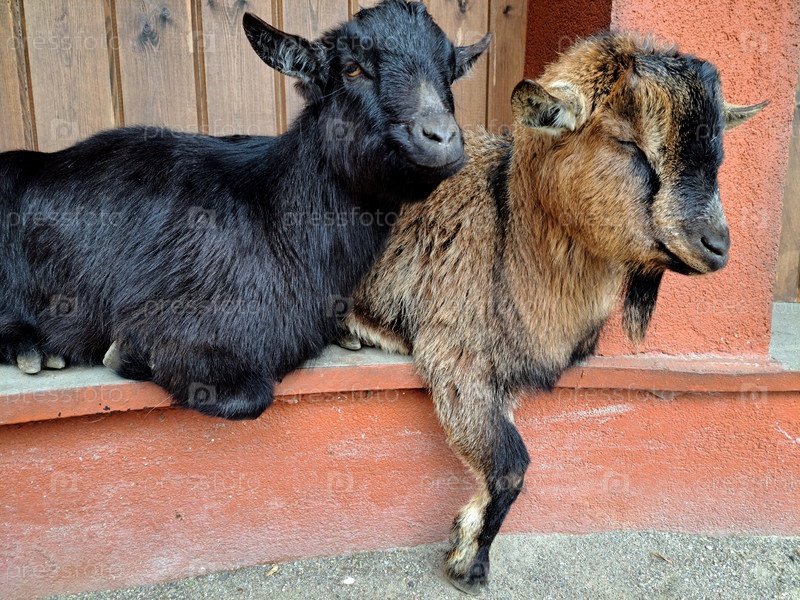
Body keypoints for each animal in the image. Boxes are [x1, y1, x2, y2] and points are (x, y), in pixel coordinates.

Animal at [0, 0, 491, 420]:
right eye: (353, 68)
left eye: (449, 70)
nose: (442, 138)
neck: (276, 217)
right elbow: (245, 396)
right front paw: (126, 352)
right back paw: (33, 348)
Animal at [342, 33, 767, 593]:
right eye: (631, 144)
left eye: (718, 153)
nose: (717, 246)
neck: (507, 232)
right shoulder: (454, 350)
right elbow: (511, 464)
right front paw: (468, 562)